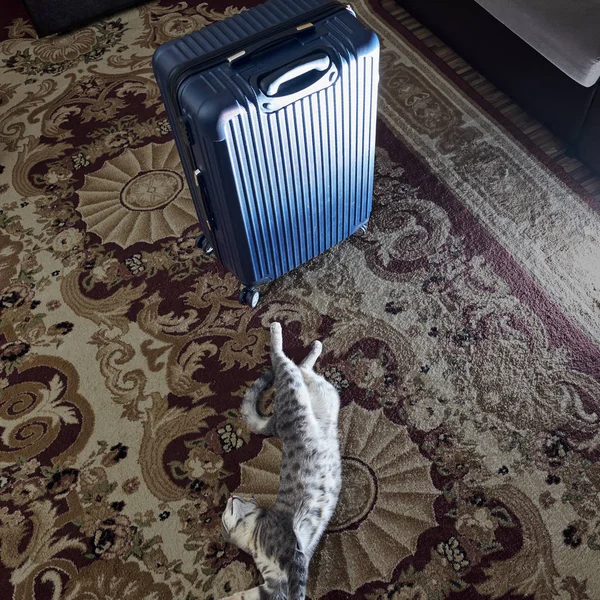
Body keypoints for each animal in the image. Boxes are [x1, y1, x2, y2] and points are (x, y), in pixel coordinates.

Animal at [220, 324, 342, 600]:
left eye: (241, 500)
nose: (233, 496)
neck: (253, 541)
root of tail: (274, 422)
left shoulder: (292, 554)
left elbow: (298, 588)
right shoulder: (272, 586)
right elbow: (243, 596)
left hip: (291, 389)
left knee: (281, 360)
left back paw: (276, 331)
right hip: (315, 390)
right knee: (302, 367)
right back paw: (313, 349)